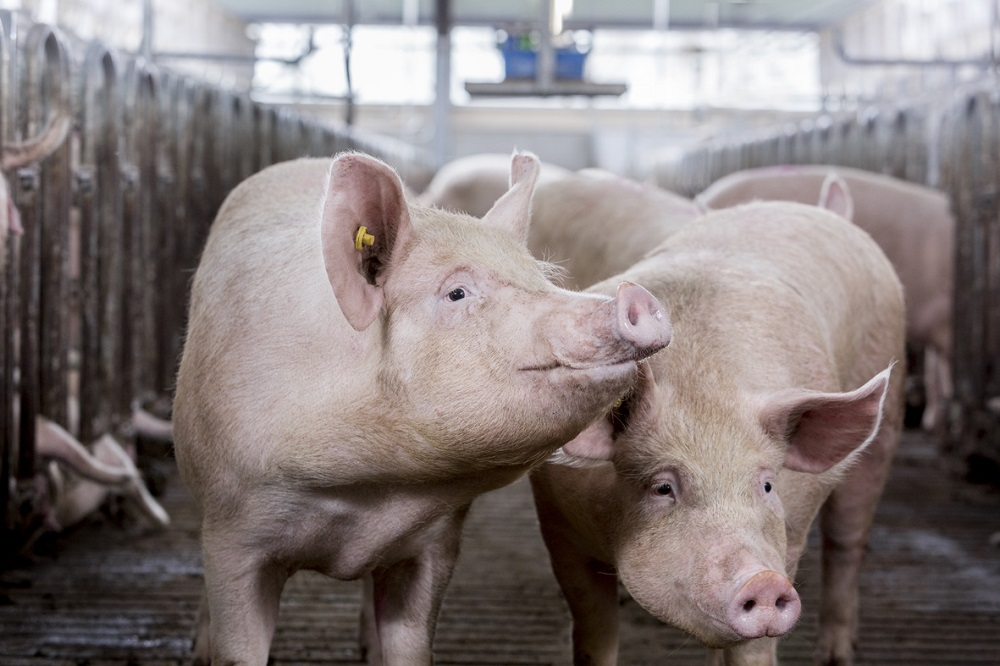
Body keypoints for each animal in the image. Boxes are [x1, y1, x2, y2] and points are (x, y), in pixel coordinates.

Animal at [532, 191, 908, 664]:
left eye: (767, 485)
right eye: (663, 487)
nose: (763, 582)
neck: (704, 391)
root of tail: (825, 211)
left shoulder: (784, 544)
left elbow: (753, 650)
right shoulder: (560, 530)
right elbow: (594, 634)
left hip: (884, 426)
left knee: (846, 542)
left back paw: (837, 654)